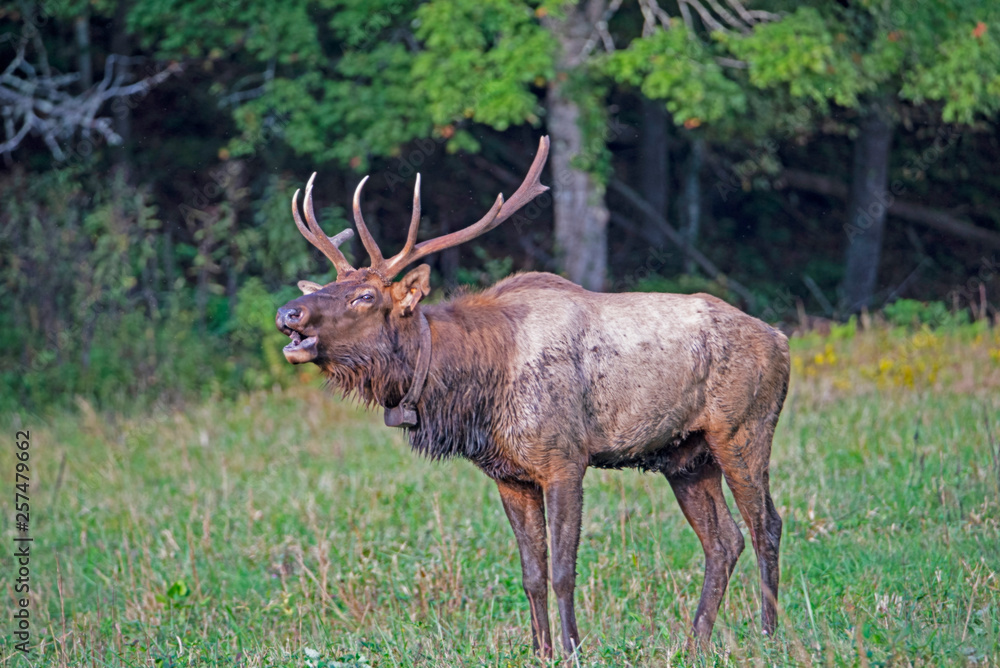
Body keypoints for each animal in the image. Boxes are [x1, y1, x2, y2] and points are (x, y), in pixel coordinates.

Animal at [274, 137, 788, 656]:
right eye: (329, 286)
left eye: (364, 296)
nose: (288, 312)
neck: (475, 393)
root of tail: (781, 339)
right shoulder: (509, 475)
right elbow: (532, 575)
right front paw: (542, 650)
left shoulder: (564, 458)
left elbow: (563, 572)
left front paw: (573, 649)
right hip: (685, 456)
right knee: (723, 541)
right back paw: (695, 640)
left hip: (743, 429)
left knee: (766, 525)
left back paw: (769, 634)